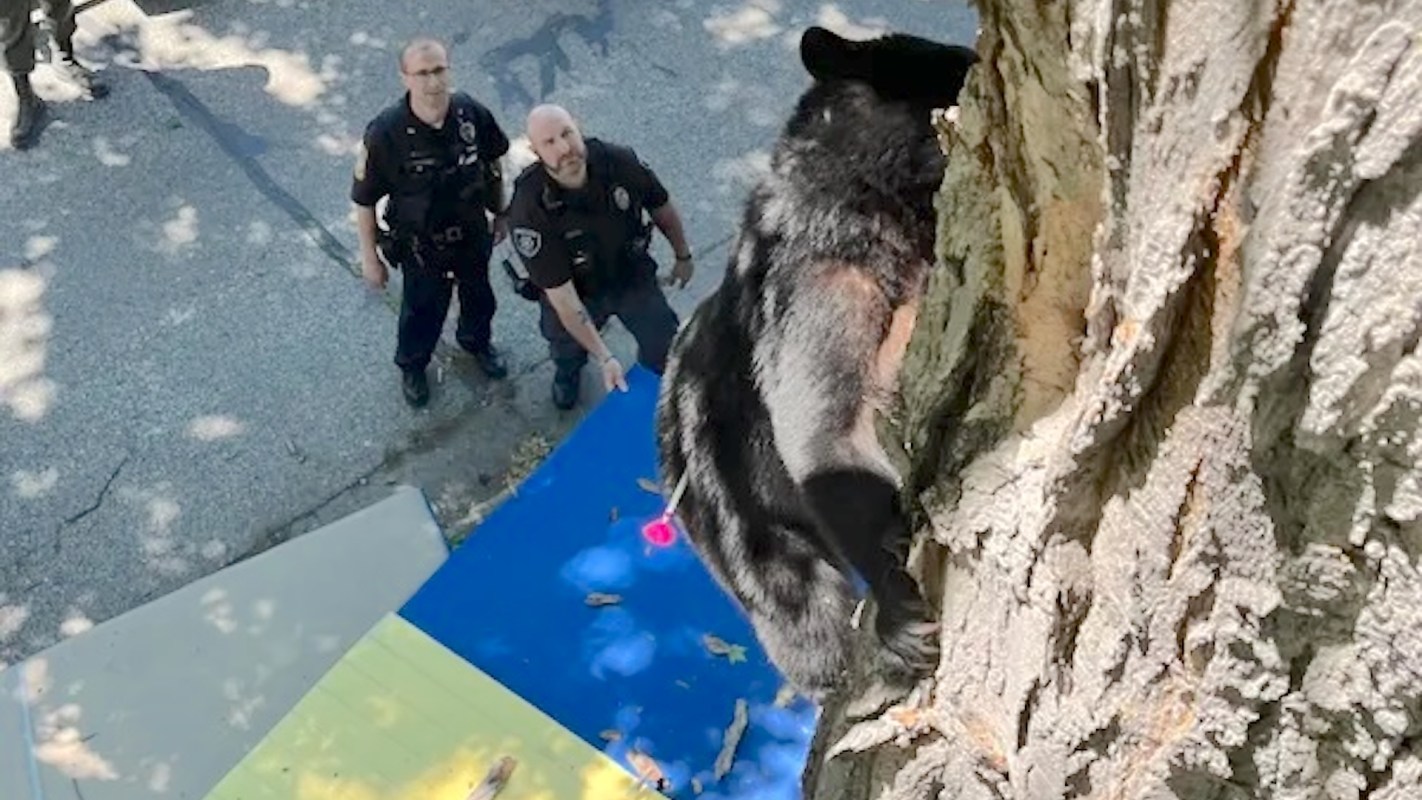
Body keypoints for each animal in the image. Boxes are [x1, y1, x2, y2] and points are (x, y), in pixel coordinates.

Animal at [653, 24, 980, 701]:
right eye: (959, 66)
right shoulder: (821, 280)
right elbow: (828, 431)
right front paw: (904, 616)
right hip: (742, 522)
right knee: (800, 611)